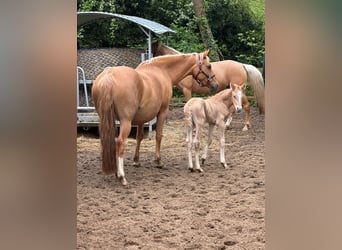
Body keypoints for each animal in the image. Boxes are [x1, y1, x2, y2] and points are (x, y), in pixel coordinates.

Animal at [92, 50, 218, 185]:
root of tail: (109, 75)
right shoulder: (162, 111)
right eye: (209, 66)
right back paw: (121, 176)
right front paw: (158, 161)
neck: (162, 71)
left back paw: (116, 172)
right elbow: (158, 136)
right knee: (120, 142)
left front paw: (136, 160)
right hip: (126, 121)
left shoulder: (141, 119)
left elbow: (139, 137)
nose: (216, 85)